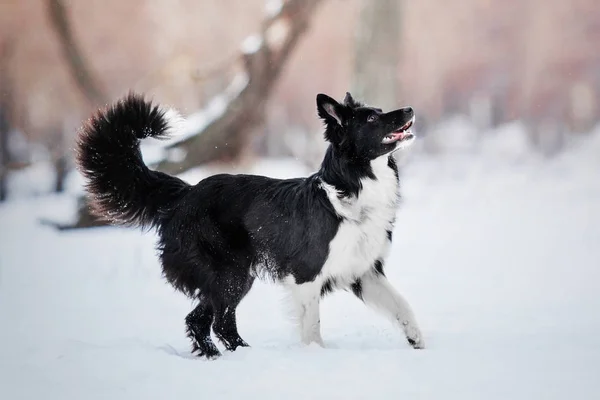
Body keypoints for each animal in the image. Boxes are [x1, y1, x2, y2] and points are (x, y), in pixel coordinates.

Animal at [75, 91, 424, 360]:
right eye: (371, 120)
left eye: (379, 111)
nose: (409, 109)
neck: (353, 187)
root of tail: (186, 193)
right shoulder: (306, 275)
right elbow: (312, 326)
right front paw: (316, 357)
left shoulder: (363, 271)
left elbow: (402, 305)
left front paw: (417, 340)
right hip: (231, 274)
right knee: (219, 323)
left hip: (228, 277)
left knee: (200, 321)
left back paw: (222, 357)